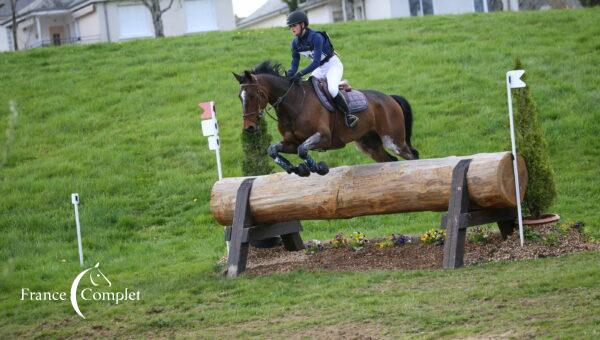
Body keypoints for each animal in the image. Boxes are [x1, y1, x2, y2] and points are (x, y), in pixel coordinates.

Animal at [232, 60, 420, 177]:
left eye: (253, 95)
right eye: (240, 97)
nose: (249, 127)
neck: (294, 103)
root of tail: (390, 98)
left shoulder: (323, 137)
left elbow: (303, 150)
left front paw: (318, 168)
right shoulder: (291, 142)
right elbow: (273, 150)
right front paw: (297, 169)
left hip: (393, 140)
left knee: (412, 156)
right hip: (369, 144)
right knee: (391, 160)